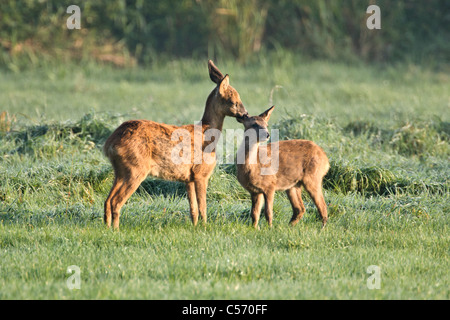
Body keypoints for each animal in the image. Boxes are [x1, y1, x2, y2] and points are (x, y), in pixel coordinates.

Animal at [103, 60, 248, 229]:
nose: (245, 114)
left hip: (120, 171)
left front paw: (195, 226)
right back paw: (116, 229)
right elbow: (203, 206)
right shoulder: (201, 173)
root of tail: (110, 144)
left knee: (107, 200)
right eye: (234, 101)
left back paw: (107, 227)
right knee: (116, 201)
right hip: (135, 168)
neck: (206, 133)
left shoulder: (188, 178)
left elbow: (193, 208)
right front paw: (205, 226)